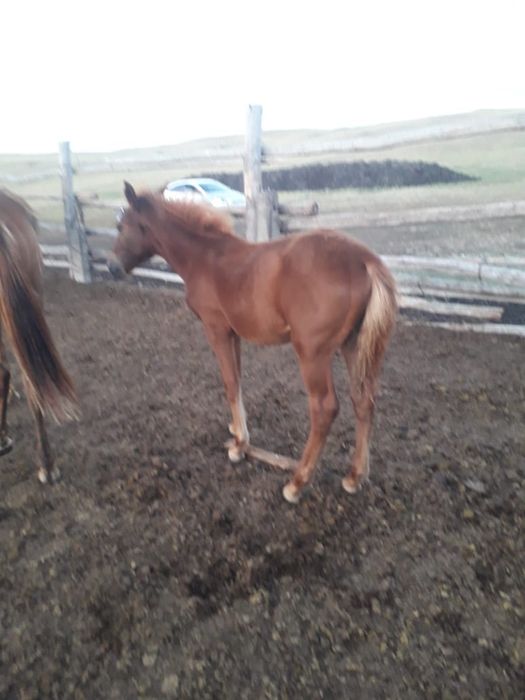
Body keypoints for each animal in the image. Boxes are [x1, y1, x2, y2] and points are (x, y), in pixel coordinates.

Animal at [110, 182, 397, 503]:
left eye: (121, 225)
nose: (111, 266)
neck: (204, 257)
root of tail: (364, 261)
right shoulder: (233, 333)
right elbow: (237, 381)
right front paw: (239, 435)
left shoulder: (216, 330)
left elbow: (229, 383)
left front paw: (238, 446)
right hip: (353, 345)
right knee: (363, 400)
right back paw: (354, 476)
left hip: (313, 352)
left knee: (324, 408)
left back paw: (296, 483)